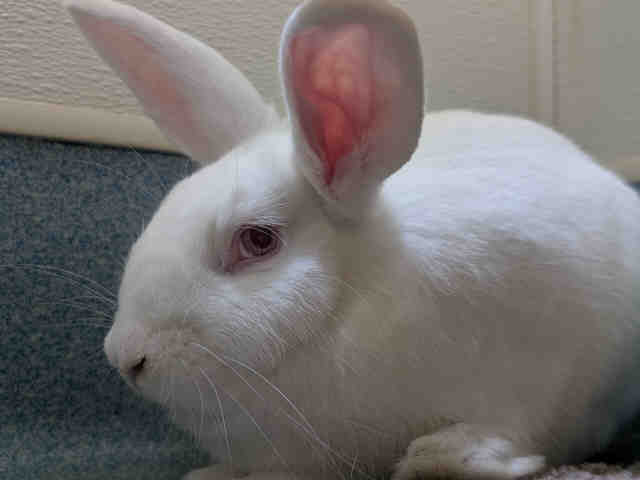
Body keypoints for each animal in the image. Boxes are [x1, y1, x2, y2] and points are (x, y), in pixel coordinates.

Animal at [64, 0, 640, 479]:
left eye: (256, 241)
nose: (126, 356)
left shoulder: (537, 376)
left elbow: (511, 429)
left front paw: (443, 456)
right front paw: (211, 475)